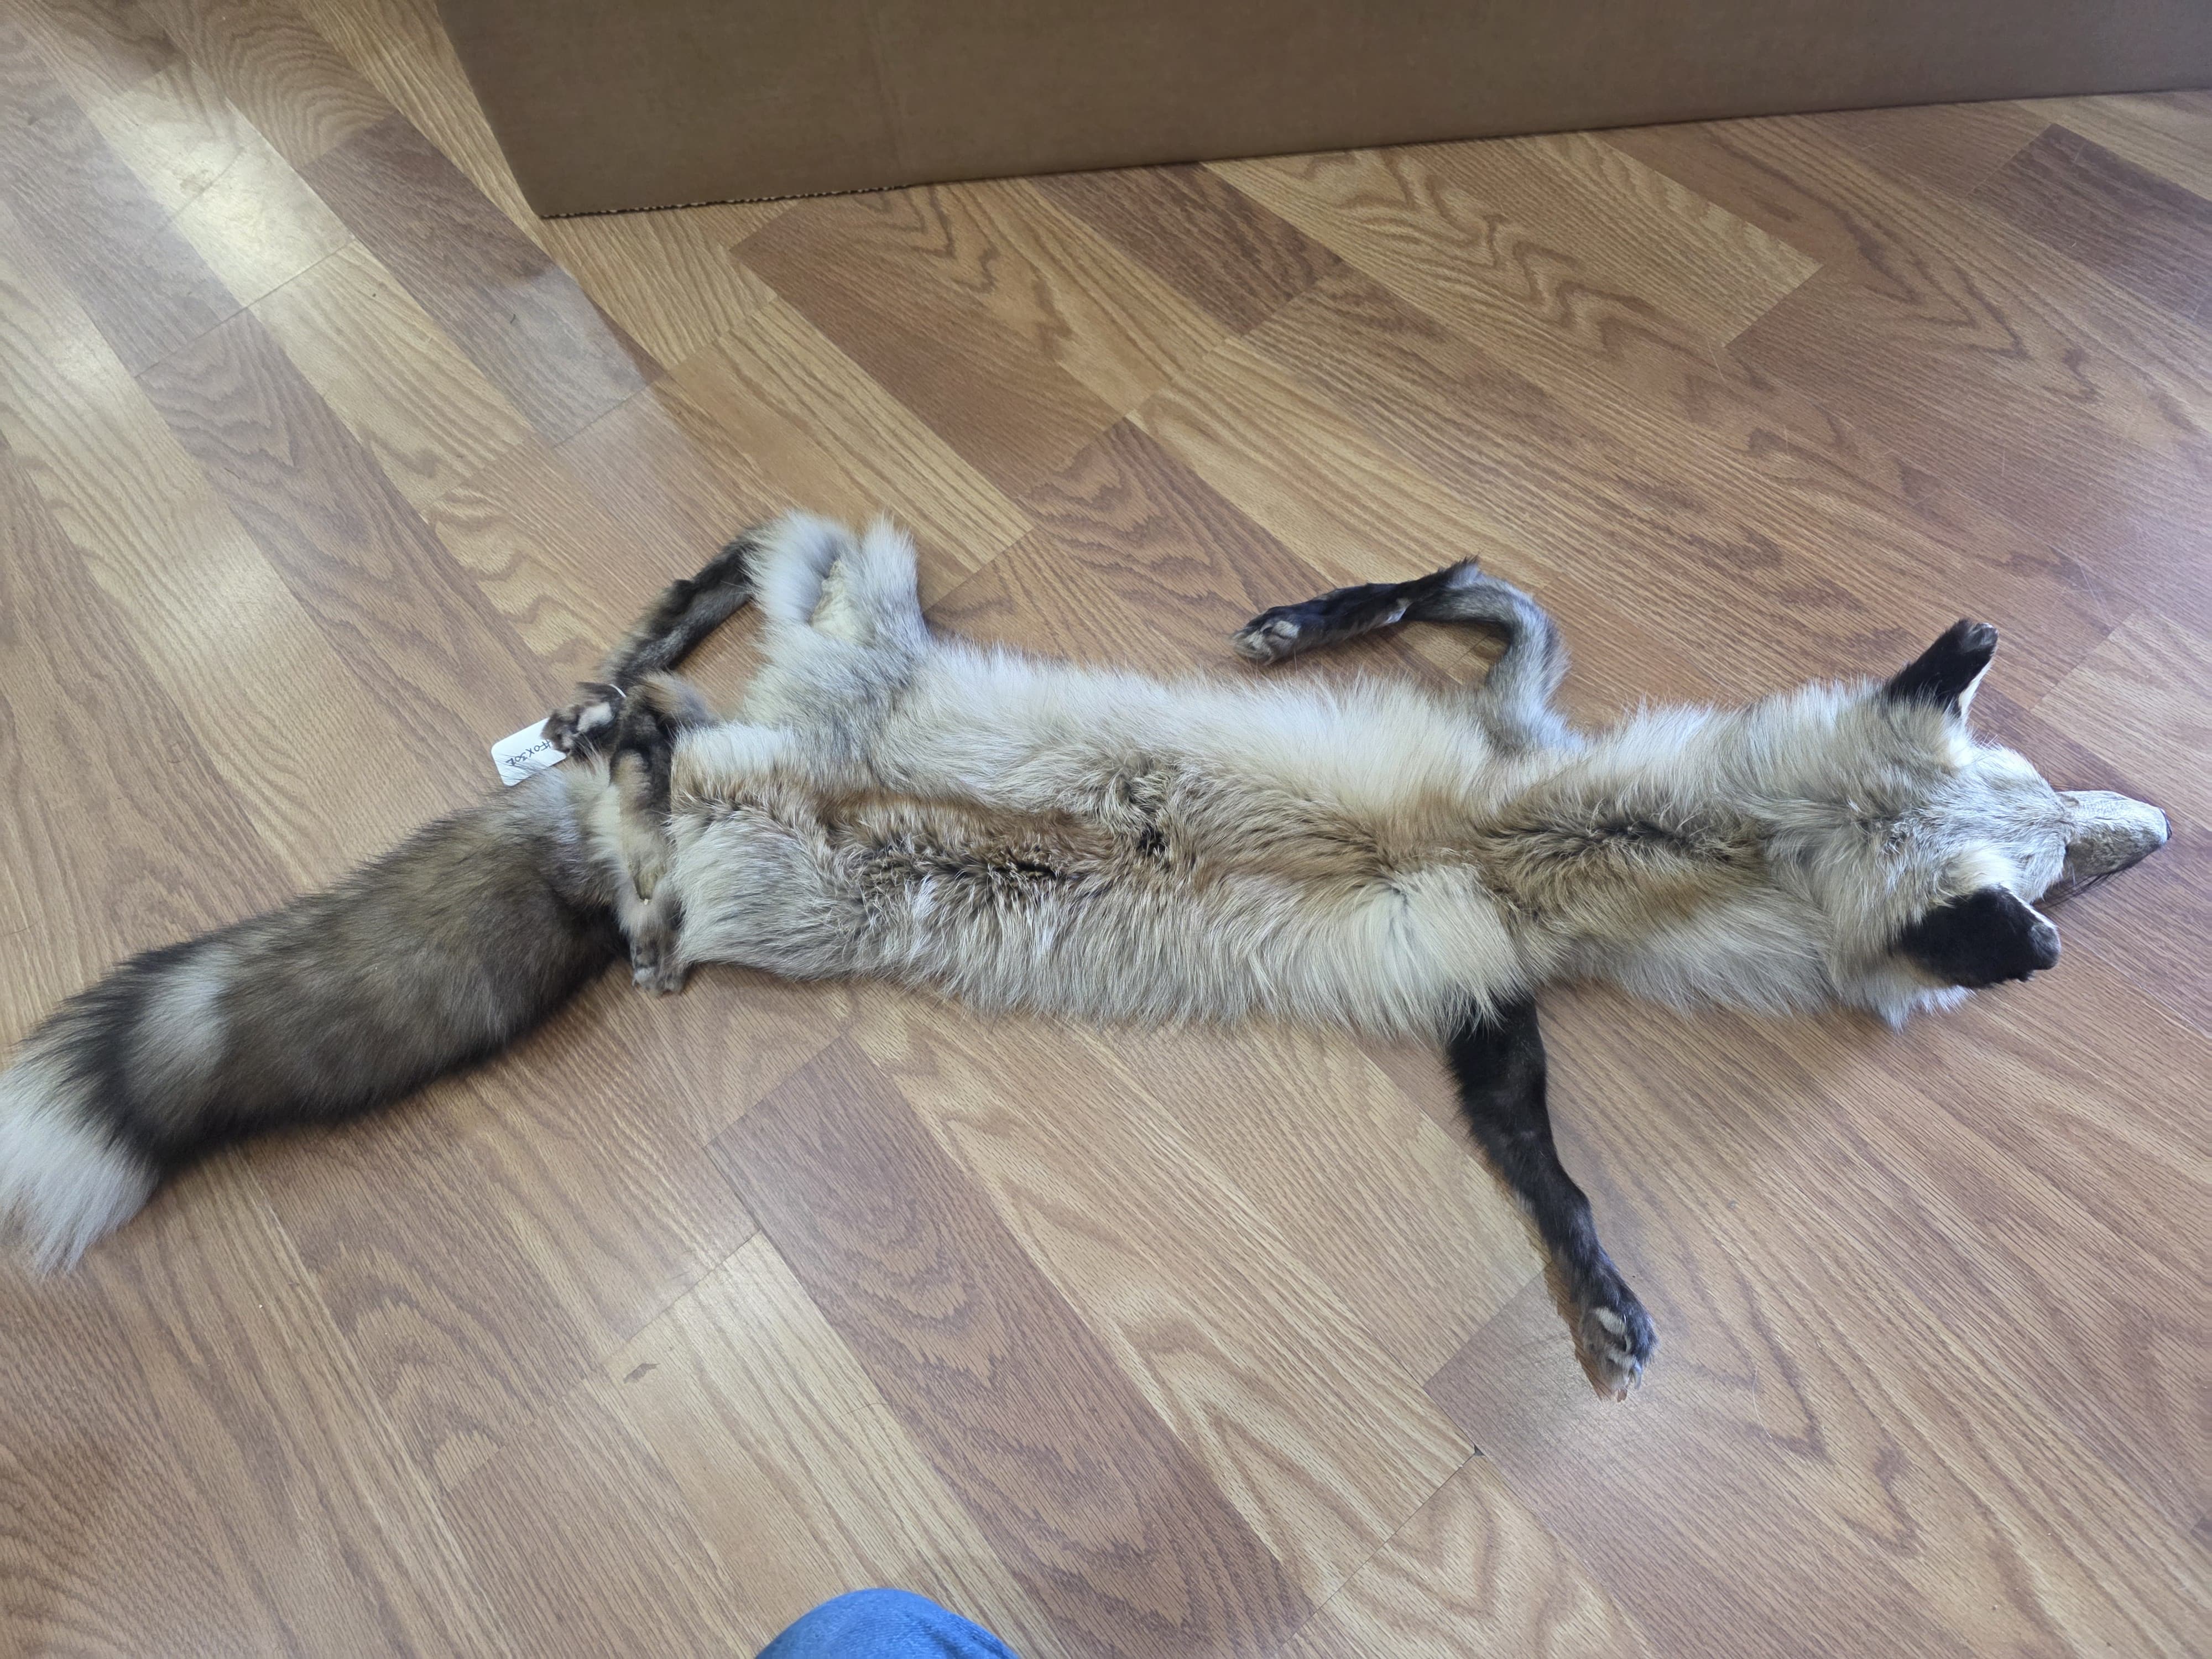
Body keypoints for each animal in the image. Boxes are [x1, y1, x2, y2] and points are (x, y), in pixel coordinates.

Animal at [596, 513, 2171, 1394]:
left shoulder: (1486, 978)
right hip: (823, 759)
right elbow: (1477, 586)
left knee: (678, 759)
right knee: (751, 575)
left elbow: (1484, 594)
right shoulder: (1510, 795)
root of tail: (755, 762)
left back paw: (629, 740)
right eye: (2056, 850)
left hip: (783, 860)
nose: (2157, 827)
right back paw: (628, 697)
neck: (1575, 841)